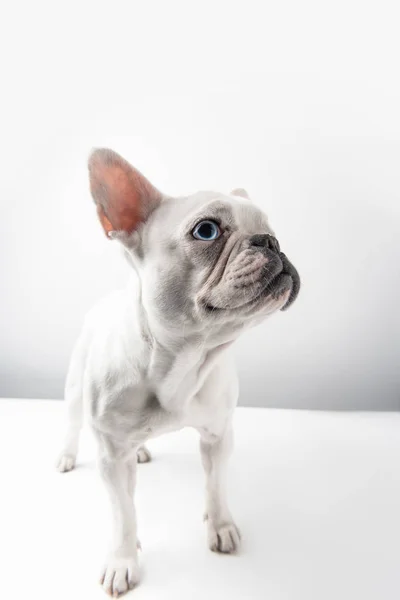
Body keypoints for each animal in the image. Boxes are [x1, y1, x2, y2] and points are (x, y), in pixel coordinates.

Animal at [56, 149, 300, 596]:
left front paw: (220, 526)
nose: (271, 241)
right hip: (74, 390)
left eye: (271, 229)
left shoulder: (219, 436)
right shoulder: (111, 458)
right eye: (207, 230)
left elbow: (215, 487)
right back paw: (66, 455)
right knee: (71, 424)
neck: (181, 359)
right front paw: (123, 560)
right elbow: (122, 514)